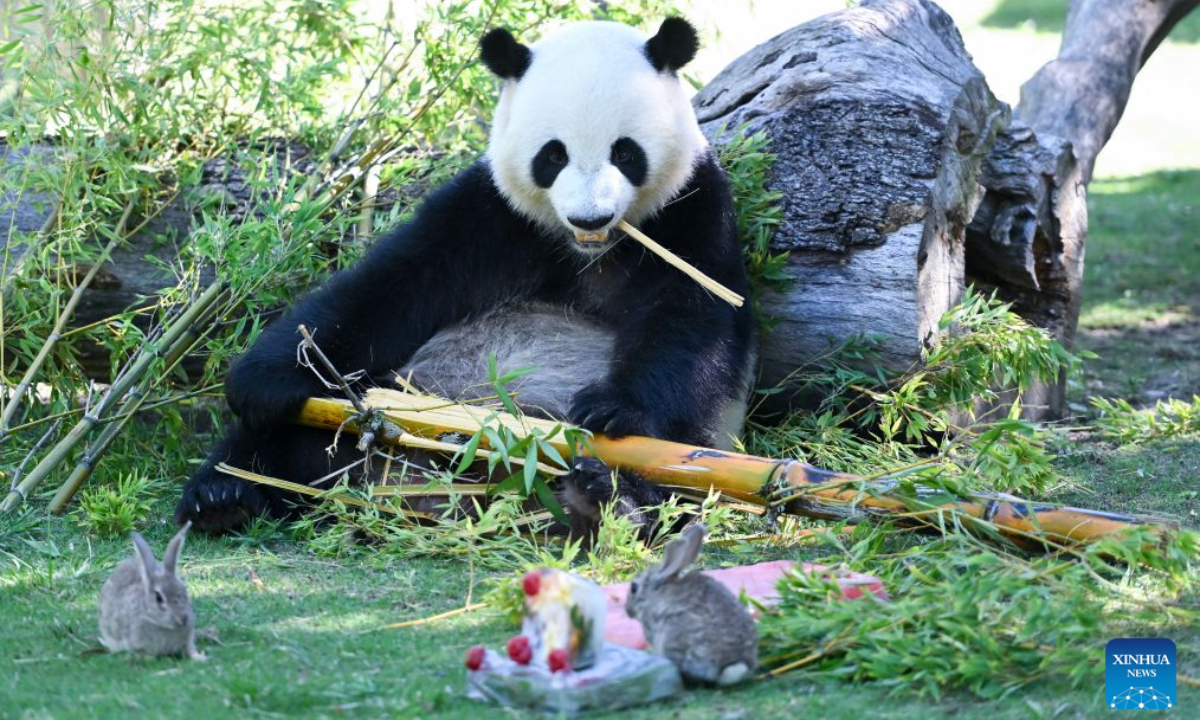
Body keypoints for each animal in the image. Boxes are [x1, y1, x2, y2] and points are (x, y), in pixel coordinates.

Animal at [175, 17, 756, 536]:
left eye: (626, 152)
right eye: (553, 155)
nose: (589, 217)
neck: (585, 251)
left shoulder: (690, 213)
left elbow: (687, 321)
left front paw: (612, 409)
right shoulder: (490, 213)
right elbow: (390, 285)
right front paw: (268, 378)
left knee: (668, 471)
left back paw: (605, 499)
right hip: (387, 402)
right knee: (282, 441)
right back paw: (225, 494)